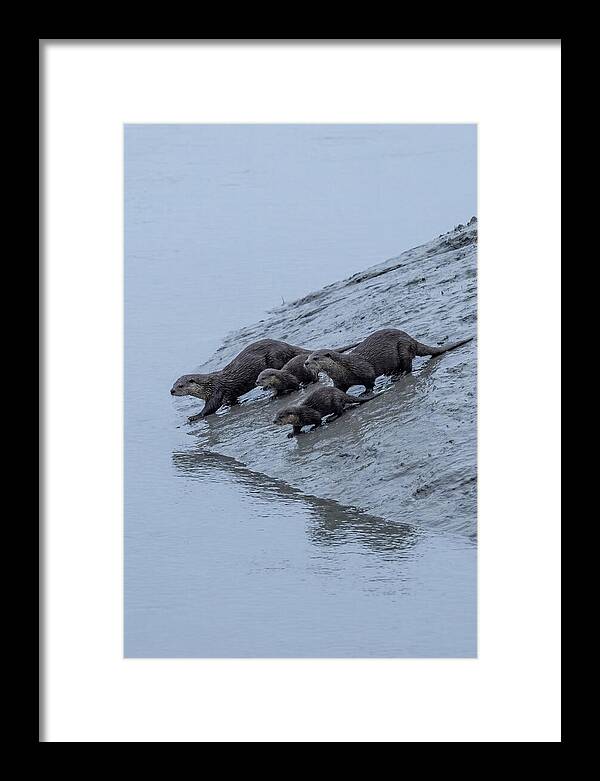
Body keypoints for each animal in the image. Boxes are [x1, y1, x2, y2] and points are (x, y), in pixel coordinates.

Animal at [171, 338, 359, 421]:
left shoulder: (216, 391)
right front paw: (231, 405)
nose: (171, 391)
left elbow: (210, 407)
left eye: (180, 385)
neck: (208, 385)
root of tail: (284, 344)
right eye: (173, 384)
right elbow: (232, 399)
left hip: (275, 357)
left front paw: (195, 416)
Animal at [304, 328, 473, 392]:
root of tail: (411, 339)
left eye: (315, 358)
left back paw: (400, 375)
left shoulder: (363, 369)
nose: (306, 363)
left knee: (408, 366)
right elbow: (339, 390)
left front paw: (365, 393)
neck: (344, 369)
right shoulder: (340, 382)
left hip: (403, 347)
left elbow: (369, 381)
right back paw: (393, 374)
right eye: (307, 357)